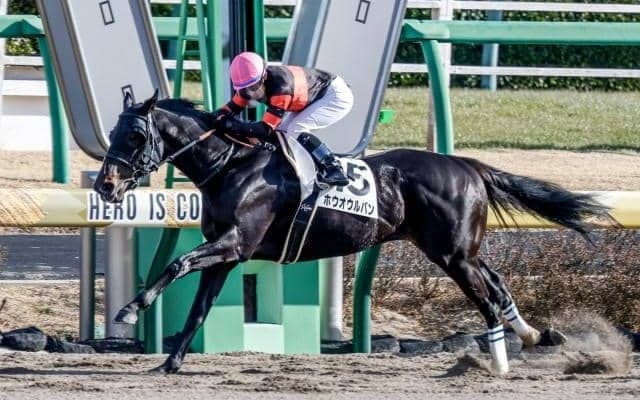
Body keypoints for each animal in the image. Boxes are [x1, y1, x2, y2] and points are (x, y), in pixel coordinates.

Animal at [94, 91, 612, 375]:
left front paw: (130, 308)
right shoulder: (229, 255)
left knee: (486, 300)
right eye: (113, 132)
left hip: (451, 256)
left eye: (136, 136)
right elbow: (198, 308)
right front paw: (170, 361)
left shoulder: (234, 243)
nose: (106, 185)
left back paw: (500, 363)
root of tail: (467, 164)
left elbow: (176, 263)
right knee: (499, 284)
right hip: (461, 250)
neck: (232, 165)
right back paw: (533, 334)